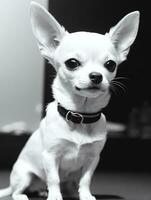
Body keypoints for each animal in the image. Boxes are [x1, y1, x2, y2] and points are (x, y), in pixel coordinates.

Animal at [0, 1, 139, 200]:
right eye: (72, 63)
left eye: (110, 65)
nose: (96, 76)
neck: (80, 114)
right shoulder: (50, 156)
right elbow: (53, 178)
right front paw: (55, 196)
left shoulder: (92, 159)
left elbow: (86, 179)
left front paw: (86, 195)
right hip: (24, 175)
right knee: (17, 191)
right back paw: (27, 194)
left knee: (67, 184)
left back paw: (61, 192)